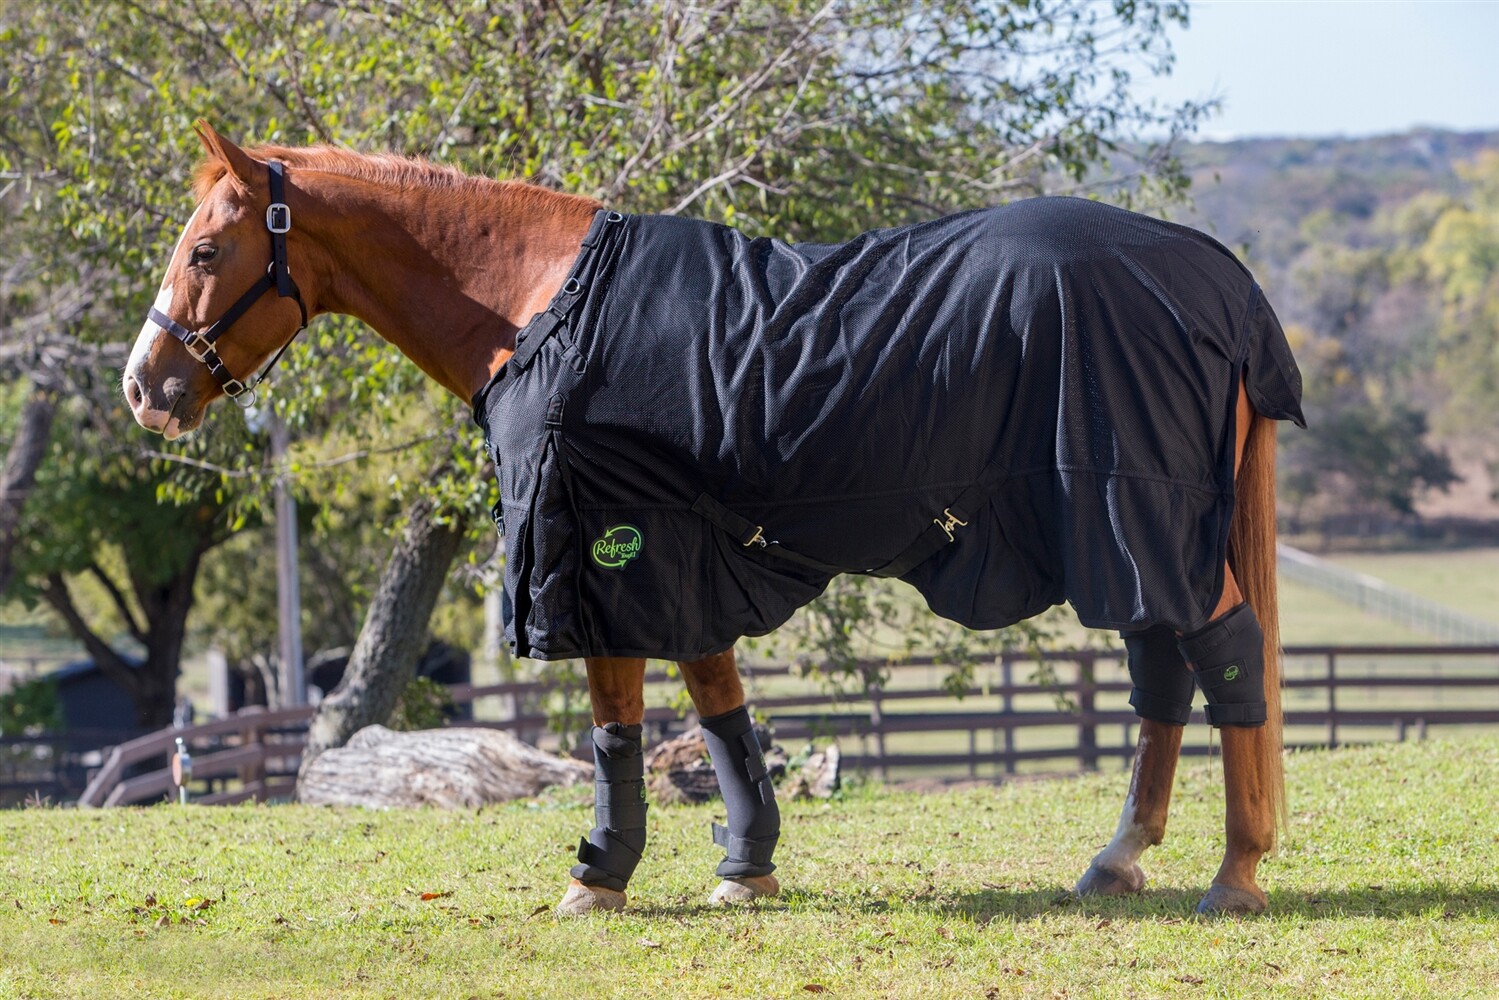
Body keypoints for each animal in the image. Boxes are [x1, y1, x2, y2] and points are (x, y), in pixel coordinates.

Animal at [125, 122, 1304, 916]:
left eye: (203, 252)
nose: (145, 389)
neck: (542, 304)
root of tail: (1212, 277)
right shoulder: (675, 550)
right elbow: (717, 704)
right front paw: (746, 865)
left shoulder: (600, 549)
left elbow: (616, 717)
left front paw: (599, 875)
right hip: (1126, 534)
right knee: (1161, 672)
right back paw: (1119, 859)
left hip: (1134, 519)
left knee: (1225, 651)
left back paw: (1235, 872)